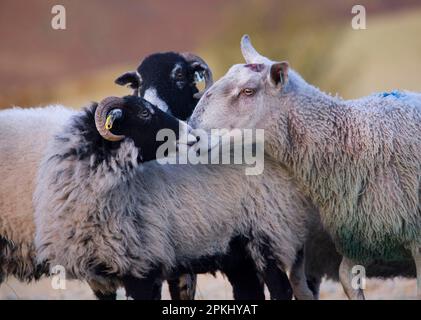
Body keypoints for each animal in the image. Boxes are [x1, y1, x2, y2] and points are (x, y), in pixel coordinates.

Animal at [32, 95, 316, 300]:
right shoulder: (99, 278)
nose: (194, 134)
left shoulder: (143, 267)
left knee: (281, 291)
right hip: (238, 254)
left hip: (269, 235)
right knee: (250, 292)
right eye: (144, 113)